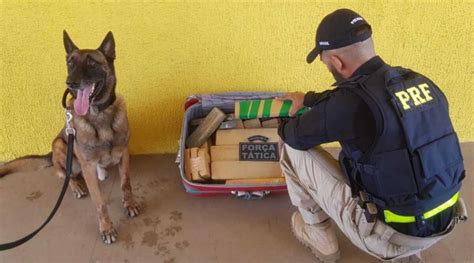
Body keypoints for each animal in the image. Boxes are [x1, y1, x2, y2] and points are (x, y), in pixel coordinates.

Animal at [0, 31, 140, 245]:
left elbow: (126, 184)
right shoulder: (88, 167)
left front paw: (129, 204)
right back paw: (76, 186)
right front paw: (106, 228)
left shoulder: (123, 154)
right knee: (63, 173)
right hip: (59, 145)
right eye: (70, 63)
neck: (99, 114)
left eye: (91, 63)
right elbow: (100, 203)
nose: (70, 82)